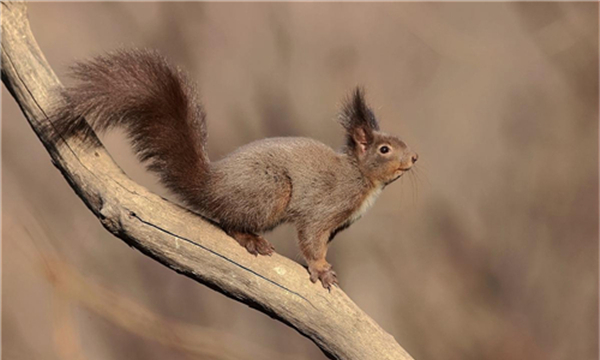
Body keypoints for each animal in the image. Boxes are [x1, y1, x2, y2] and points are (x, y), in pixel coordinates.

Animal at [50, 48, 418, 290]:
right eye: (384, 149)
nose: (414, 157)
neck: (362, 178)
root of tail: (210, 185)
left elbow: (322, 244)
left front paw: (326, 265)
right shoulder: (325, 207)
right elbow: (312, 238)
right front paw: (320, 269)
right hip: (272, 191)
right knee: (228, 221)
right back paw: (249, 238)